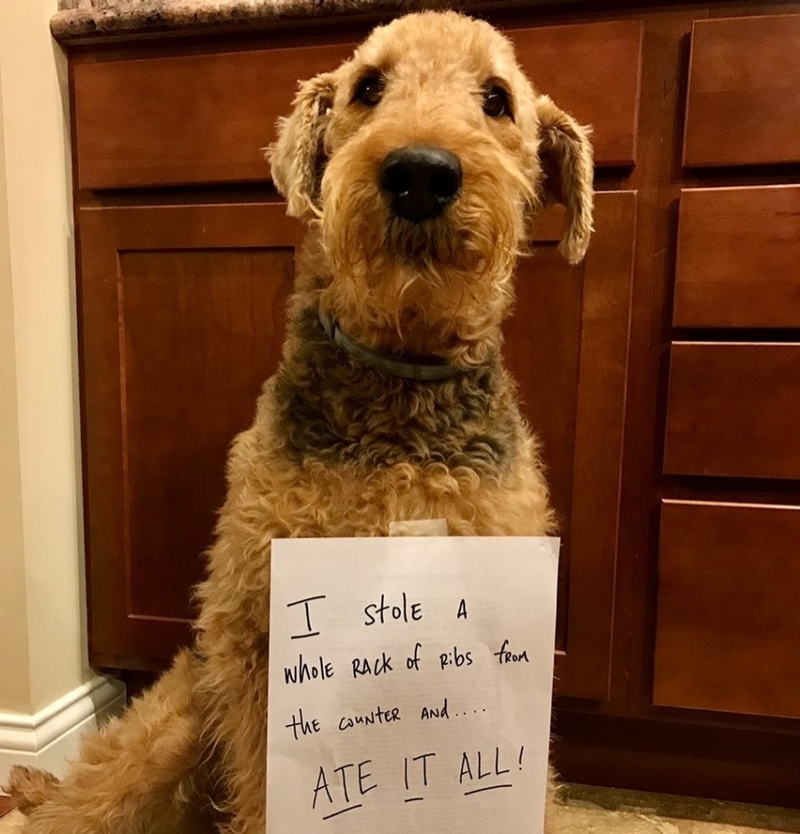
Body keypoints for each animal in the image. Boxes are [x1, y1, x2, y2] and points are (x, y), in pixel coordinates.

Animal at [6, 9, 592, 828]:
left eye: (498, 99)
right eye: (368, 86)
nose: (420, 172)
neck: (400, 396)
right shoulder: (261, 638)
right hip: (168, 733)